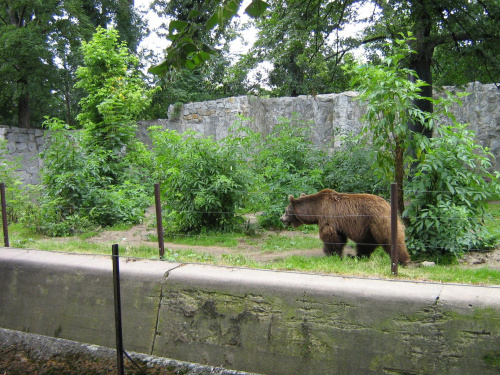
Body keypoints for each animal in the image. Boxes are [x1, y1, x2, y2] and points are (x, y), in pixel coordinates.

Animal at [280, 189, 412, 266]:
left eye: (286, 211)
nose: (281, 219)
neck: (315, 211)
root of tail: (387, 205)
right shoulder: (339, 224)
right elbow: (340, 238)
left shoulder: (328, 217)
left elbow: (331, 237)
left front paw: (331, 254)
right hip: (368, 229)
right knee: (366, 244)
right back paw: (356, 256)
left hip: (378, 221)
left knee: (389, 238)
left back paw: (403, 260)